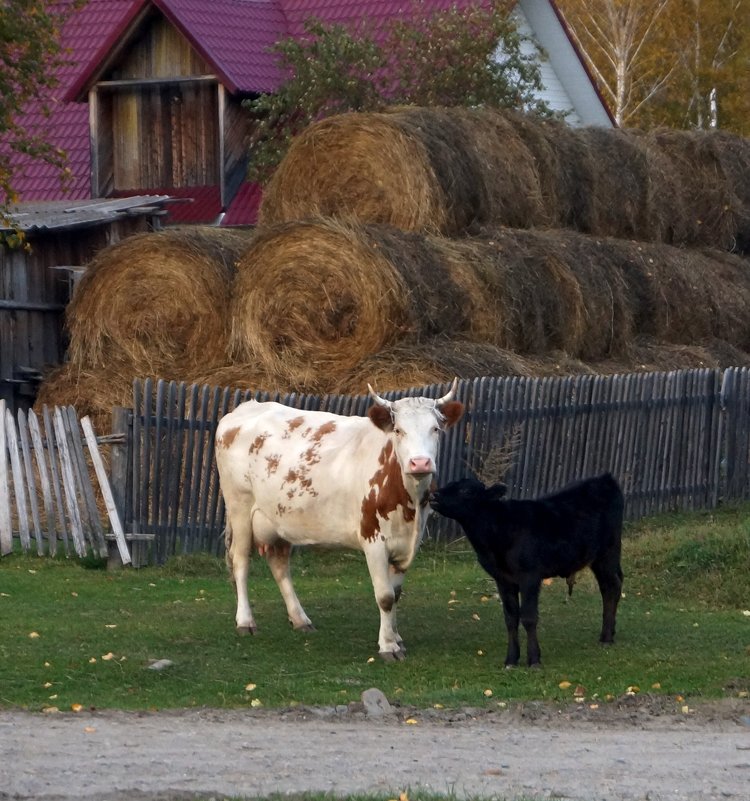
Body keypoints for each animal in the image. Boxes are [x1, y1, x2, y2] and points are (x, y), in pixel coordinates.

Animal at [214, 378, 464, 660]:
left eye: (436, 429)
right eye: (399, 431)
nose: (420, 463)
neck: (408, 503)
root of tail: (245, 409)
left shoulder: (410, 542)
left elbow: (396, 594)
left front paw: (397, 638)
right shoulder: (373, 539)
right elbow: (385, 596)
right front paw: (388, 646)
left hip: (278, 519)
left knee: (279, 565)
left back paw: (300, 619)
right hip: (240, 508)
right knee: (240, 561)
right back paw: (245, 621)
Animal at [428, 472, 624, 664]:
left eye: (466, 491)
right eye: (450, 484)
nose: (434, 495)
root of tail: (605, 478)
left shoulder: (529, 576)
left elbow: (529, 617)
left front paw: (534, 658)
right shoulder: (503, 579)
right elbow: (511, 618)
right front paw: (511, 659)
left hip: (608, 552)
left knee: (611, 587)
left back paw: (606, 637)